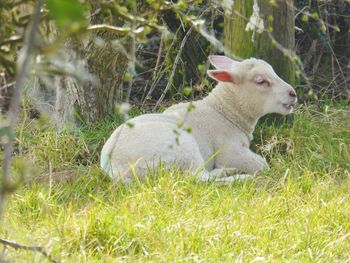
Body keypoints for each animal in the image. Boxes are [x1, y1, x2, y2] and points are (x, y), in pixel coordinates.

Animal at [100, 55, 296, 184]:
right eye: (261, 81)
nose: (293, 93)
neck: (225, 111)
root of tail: (116, 168)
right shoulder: (230, 150)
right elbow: (262, 165)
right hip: (182, 149)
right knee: (199, 179)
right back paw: (235, 175)